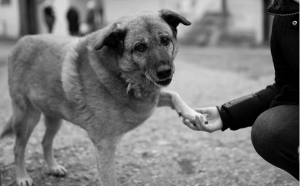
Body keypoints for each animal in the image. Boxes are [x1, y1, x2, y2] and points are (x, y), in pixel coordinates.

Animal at [0, 9, 202, 185]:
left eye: (165, 40)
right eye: (140, 47)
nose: (164, 71)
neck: (122, 74)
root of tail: (21, 42)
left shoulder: (150, 97)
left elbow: (173, 94)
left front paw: (192, 115)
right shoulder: (105, 146)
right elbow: (110, 180)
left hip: (54, 117)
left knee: (45, 142)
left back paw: (53, 167)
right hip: (28, 117)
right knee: (18, 148)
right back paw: (22, 177)